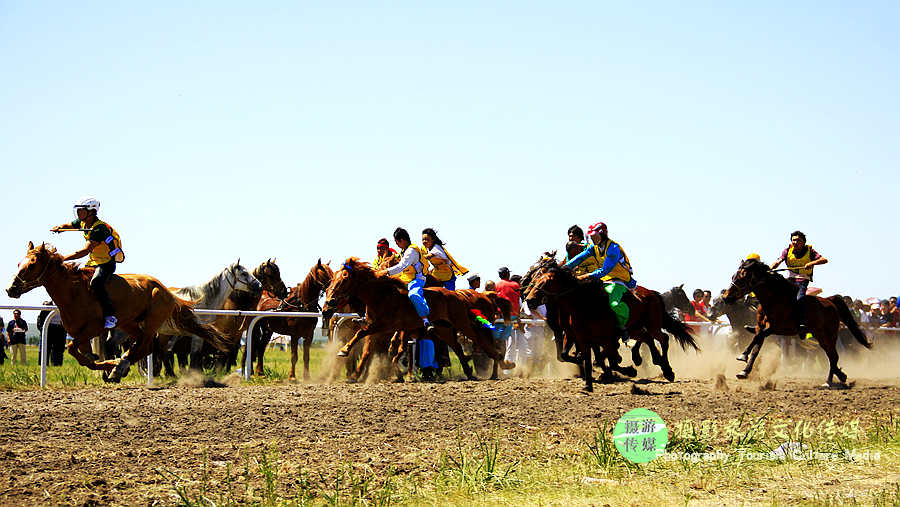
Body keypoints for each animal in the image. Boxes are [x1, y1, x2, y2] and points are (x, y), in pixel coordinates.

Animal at [6, 244, 230, 382]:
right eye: (18, 263)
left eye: (32, 264)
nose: (11, 289)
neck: (74, 292)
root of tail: (165, 289)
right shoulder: (81, 333)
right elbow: (85, 356)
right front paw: (106, 365)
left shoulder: (93, 328)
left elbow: (73, 350)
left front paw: (110, 365)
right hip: (128, 323)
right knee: (142, 346)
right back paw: (120, 365)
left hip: (151, 321)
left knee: (145, 345)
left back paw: (119, 367)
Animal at [322, 258, 512, 380]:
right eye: (332, 279)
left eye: (344, 279)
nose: (329, 303)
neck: (381, 295)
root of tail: (457, 295)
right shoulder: (382, 328)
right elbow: (375, 346)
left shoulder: (383, 326)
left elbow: (363, 335)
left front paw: (344, 350)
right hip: (443, 329)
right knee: (458, 347)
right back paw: (471, 372)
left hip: (462, 324)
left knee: (481, 342)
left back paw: (501, 364)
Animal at [720, 258, 868, 384]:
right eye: (733, 276)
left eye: (742, 276)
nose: (726, 297)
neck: (775, 299)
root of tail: (830, 301)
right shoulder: (760, 327)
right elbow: (756, 346)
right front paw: (744, 371)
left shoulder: (778, 328)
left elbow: (757, 338)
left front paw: (743, 355)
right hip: (820, 336)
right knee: (831, 356)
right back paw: (840, 376)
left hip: (829, 335)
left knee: (833, 356)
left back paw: (829, 381)